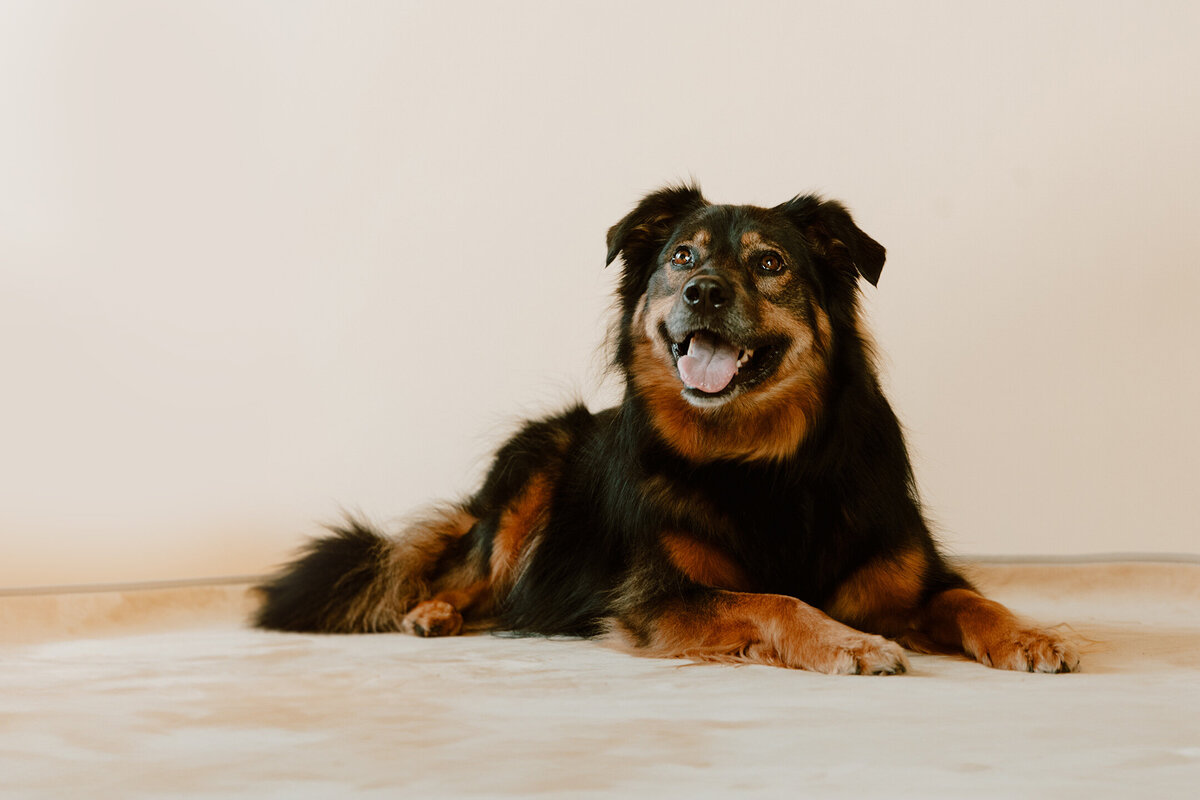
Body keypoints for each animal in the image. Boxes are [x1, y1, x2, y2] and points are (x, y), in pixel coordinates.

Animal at [253, 185, 1080, 676]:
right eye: (681, 255)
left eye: (771, 263)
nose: (702, 291)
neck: (762, 459)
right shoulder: (659, 598)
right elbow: (774, 601)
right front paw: (847, 642)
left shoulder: (913, 576)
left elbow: (972, 600)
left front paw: (1031, 633)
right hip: (533, 466)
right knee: (470, 574)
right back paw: (431, 611)